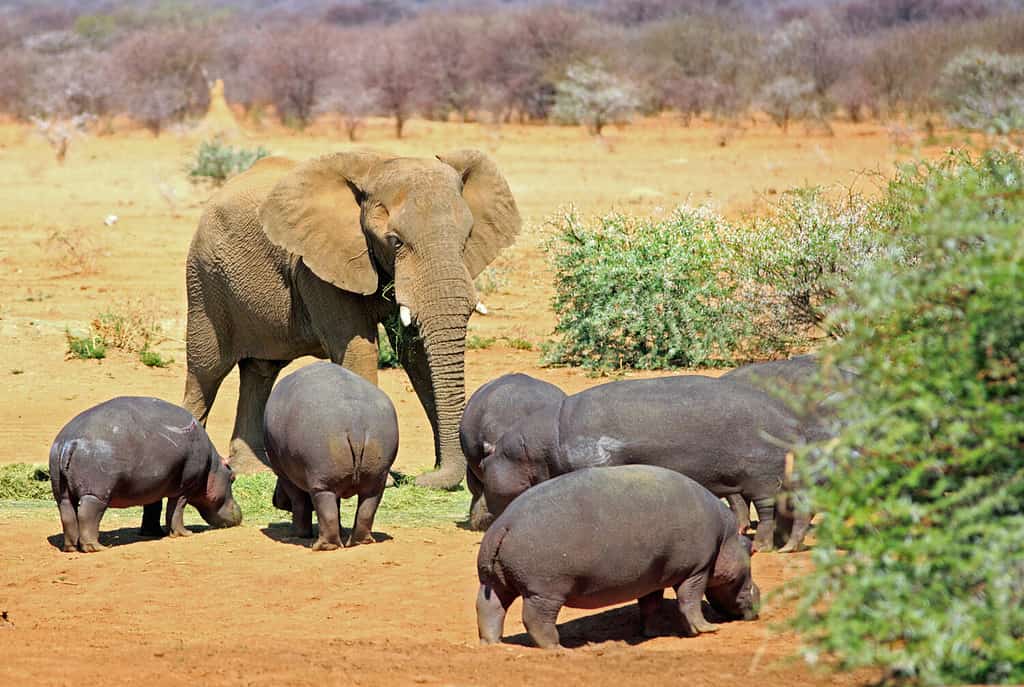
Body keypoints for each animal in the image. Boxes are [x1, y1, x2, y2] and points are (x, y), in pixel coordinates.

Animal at [51, 397, 243, 552]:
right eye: (233, 478)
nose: (240, 514)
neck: (213, 467)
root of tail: (69, 442)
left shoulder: (154, 485)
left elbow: (153, 508)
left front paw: (152, 533)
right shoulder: (184, 488)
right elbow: (176, 510)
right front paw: (184, 534)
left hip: (62, 494)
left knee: (67, 515)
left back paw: (70, 548)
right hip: (96, 494)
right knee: (87, 514)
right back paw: (97, 548)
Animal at [182, 149, 520, 489]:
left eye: (467, 239)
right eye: (396, 241)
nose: (420, 479)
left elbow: (416, 354)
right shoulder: (317, 266)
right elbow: (360, 350)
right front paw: (380, 478)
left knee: (261, 370)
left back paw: (253, 470)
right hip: (204, 280)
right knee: (206, 371)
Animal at [262, 362, 397, 552]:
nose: (274, 500)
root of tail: (355, 423)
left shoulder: (285, 476)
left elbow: (300, 503)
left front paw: (297, 535)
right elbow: (337, 506)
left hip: (321, 482)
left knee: (325, 510)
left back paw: (321, 546)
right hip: (374, 477)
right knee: (366, 509)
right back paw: (358, 542)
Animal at [475, 464, 757, 647]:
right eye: (751, 552)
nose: (759, 595)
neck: (726, 538)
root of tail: (505, 524)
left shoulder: (652, 576)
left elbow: (651, 605)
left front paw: (653, 633)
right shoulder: (698, 570)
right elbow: (691, 600)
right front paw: (707, 630)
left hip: (494, 582)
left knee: (489, 608)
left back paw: (492, 644)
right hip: (544, 592)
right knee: (536, 620)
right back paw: (558, 649)